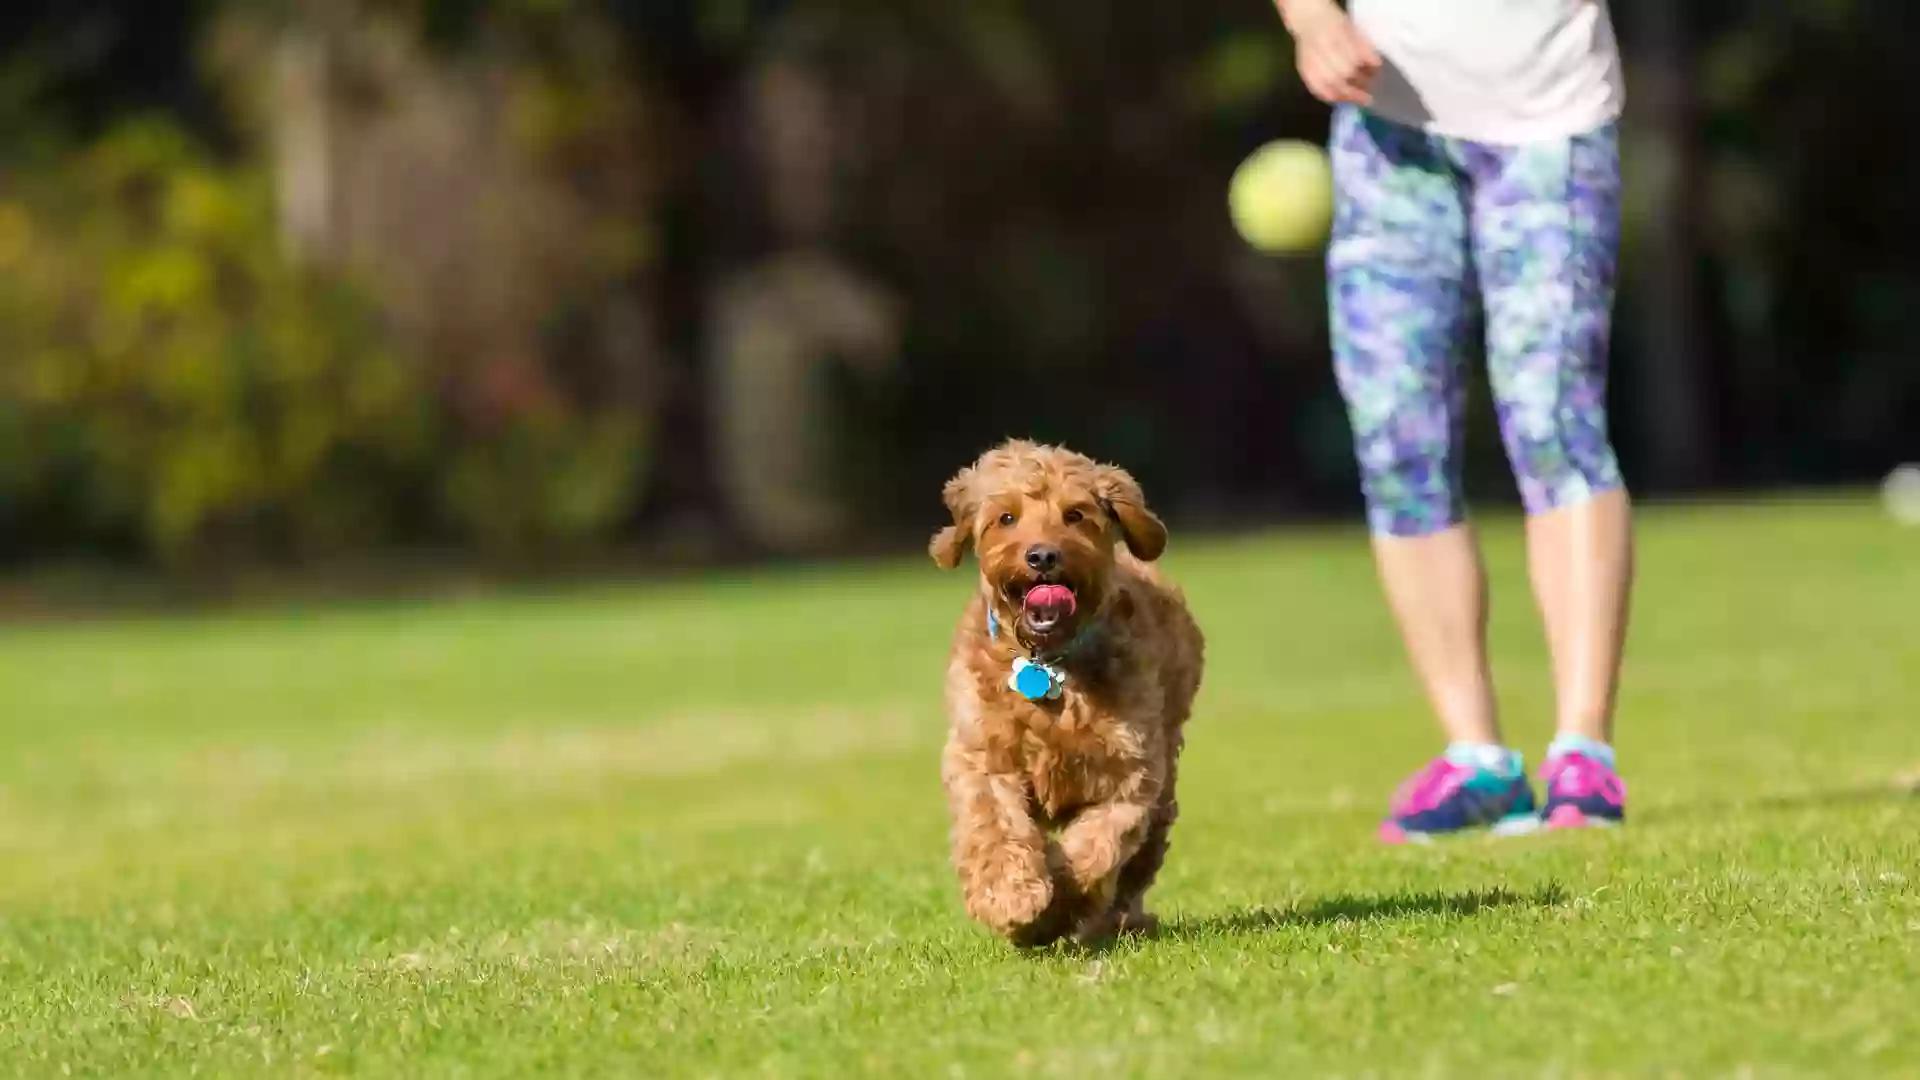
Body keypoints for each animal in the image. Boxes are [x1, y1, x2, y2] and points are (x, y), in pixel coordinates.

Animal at [925, 438, 1198, 941]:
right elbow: (993, 824)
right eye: (1006, 517)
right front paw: (1010, 897)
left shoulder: (1128, 773)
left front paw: (1056, 909)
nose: (1042, 557)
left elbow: (1095, 848)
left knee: (1139, 862)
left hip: (1164, 779)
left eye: (1075, 515)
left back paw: (1121, 919)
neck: (1046, 665)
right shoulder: (982, 753)